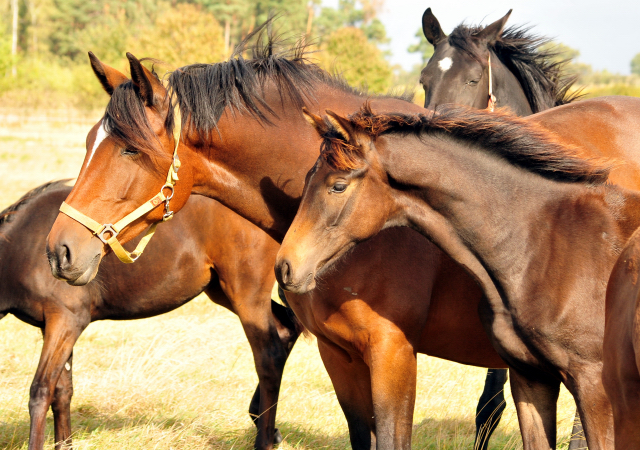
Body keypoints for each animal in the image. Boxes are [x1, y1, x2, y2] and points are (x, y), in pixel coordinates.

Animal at [0, 181, 300, 450]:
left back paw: (264, 430)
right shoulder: (54, 326)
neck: (24, 248)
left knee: (269, 353)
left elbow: (41, 391)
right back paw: (267, 425)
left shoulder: (65, 321)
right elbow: (62, 392)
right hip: (223, 291)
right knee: (286, 328)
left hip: (245, 294)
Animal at [278, 102, 640, 450]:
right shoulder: (530, 377)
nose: (284, 267)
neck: (544, 241)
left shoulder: (594, 386)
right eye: (307, 179)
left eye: (338, 186)